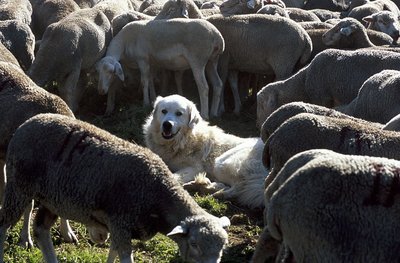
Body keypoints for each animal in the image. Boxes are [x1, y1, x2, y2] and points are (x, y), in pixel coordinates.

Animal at [0, 113, 231, 263]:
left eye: (222, 248)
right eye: (194, 244)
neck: (159, 193)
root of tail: (27, 124)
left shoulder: (120, 226)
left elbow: (113, 252)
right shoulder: (121, 222)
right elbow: (125, 257)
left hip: (53, 200)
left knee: (41, 230)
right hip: (18, 186)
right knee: (4, 225)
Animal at [95, 19, 223, 120]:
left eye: (111, 72)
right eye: (98, 72)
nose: (100, 91)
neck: (125, 41)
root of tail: (217, 36)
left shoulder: (142, 59)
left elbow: (144, 82)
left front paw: (145, 103)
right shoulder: (151, 62)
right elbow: (150, 80)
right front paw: (153, 99)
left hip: (198, 60)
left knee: (204, 87)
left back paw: (205, 115)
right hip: (212, 61)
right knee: (218, 84)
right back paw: (214, 113)